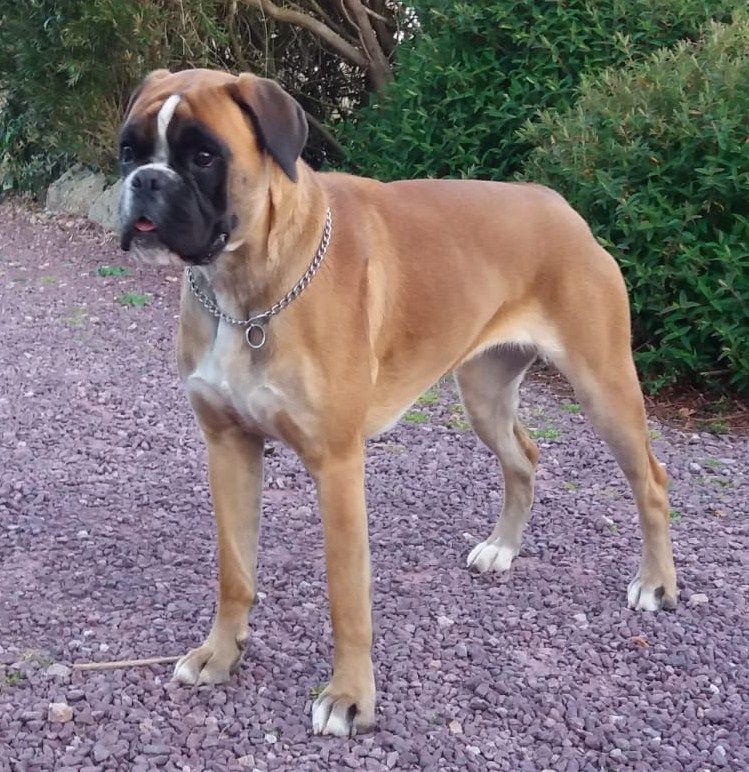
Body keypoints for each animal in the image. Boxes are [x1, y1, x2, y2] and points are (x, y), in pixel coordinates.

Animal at [117, 68, 677, 736]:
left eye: (204, 156)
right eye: (128, 150)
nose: (146, 181)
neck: (245, 292)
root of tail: (558, 205)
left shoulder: (336, 466)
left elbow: (346, 595)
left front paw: (350, 697)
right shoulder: (228, 446)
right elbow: (235, 571)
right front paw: (220, 654)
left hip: (603, 389)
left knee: (651, 482)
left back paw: (656, 584)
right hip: (484, 394)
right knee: (524, 459)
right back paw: (503, 548)